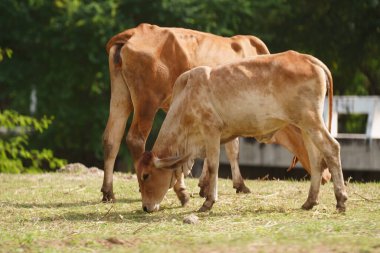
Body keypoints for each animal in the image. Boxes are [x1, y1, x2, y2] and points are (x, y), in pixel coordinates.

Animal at [102, 23, 332, 204]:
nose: (327, 176)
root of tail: (132, 33)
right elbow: (232, 149)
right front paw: (237, 185)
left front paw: (204, 186)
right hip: (147, 103)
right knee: (136, 139)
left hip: (121, 97)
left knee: (111, 138)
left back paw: (108, 192)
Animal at [137, 51, 348, 213]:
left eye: (146, 175)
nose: (146, 208)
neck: (185, 98)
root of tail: (308, 58)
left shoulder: (211, 131)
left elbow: (213, 166)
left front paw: (208, 202)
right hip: (305, 126)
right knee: (316, 160)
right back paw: (310, 201)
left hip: (311, 120)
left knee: (332, 148)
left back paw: (341, 200)